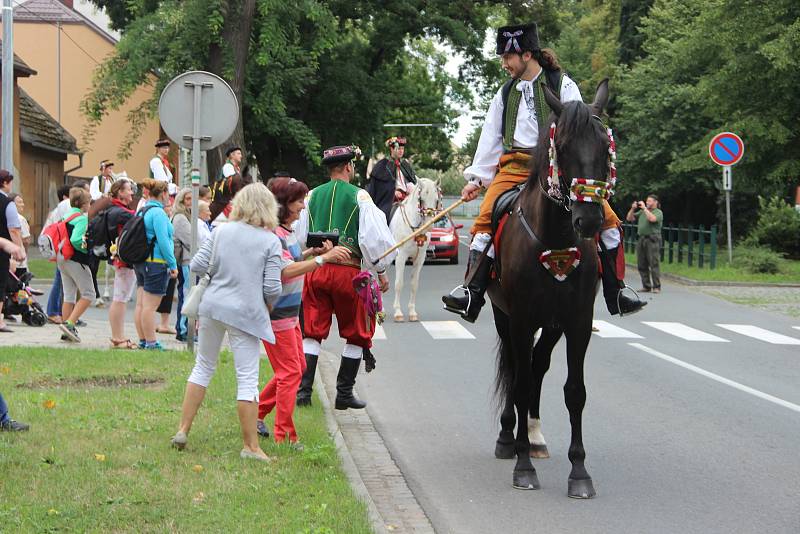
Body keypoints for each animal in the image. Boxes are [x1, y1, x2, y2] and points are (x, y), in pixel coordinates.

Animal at [390, 179, 440, 322]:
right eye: (421, 199)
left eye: (436, 200)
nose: (429, 225)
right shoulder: (401, 257)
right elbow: (399, 283)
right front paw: (398, 312)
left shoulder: (420, 258)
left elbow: (414, 285)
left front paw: (412, 312)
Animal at [488, 79, 612, 498]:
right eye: (565, 147)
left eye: (605, 147)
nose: (589, 220)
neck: (555, 236)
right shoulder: (521, 318)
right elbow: (521, 382)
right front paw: (523, 466)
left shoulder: (576, 322)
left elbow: (575, 391)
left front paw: (580, 473)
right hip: (504, 317)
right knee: (516, 369)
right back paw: (509, 438)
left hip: (552, 324)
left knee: (537, 366)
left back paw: (535, 436)